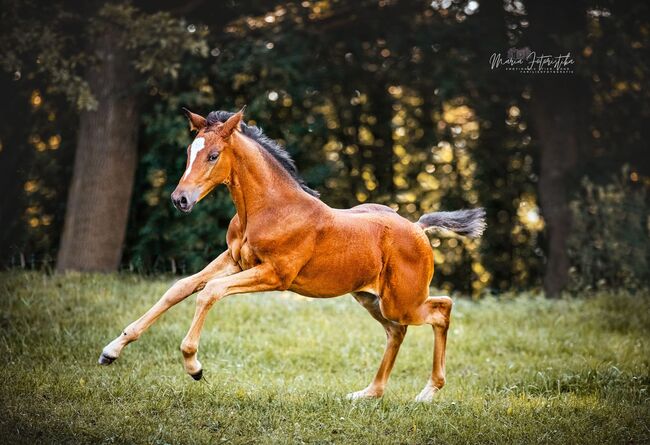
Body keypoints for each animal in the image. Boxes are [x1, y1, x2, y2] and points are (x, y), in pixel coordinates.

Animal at [96, 108, 480, 402]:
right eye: (190, 153)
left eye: (213, 155)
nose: (181, 200)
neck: (268, 209)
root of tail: (417, 227)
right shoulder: (233, 260)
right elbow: (180, 288)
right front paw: (111, 350)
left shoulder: (274, 275)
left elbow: (209, 293)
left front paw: (194, 366)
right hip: (371, 298)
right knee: (396, 332)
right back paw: (368, 393)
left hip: (403, 300)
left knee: (442, 309)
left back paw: (427, 393)